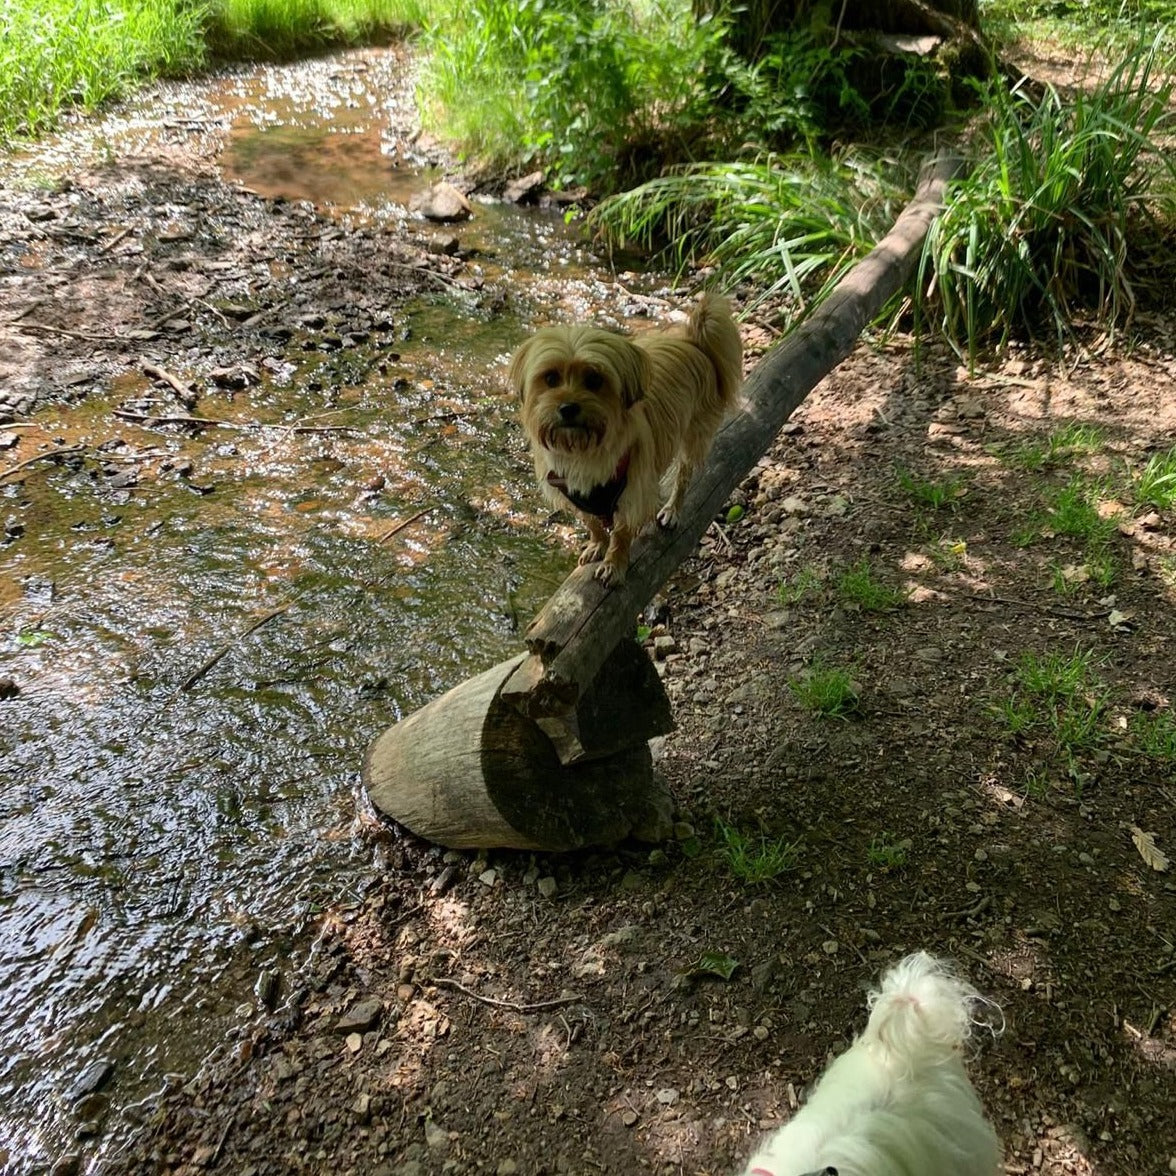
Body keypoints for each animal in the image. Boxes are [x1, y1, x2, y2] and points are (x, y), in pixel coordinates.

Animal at [510, 294, 738, 588]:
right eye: (550, 378)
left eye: (594, 379)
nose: (568, 408)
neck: (584, 450)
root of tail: (693, 343)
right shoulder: (573, 493)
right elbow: (592, 523)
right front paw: (597, 544)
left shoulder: (633, 490)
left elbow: (620, 534)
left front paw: (614, 565)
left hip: (694, 434)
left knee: (684, 476)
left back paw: (672, 510)